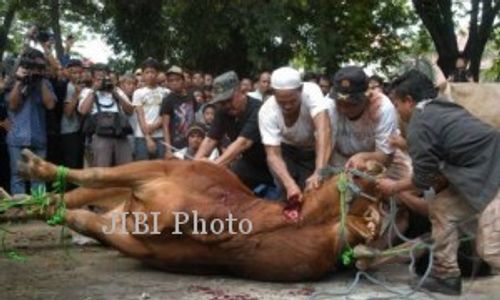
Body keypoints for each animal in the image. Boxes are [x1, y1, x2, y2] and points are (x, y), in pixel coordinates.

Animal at [2, 149, 386, 282]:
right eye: (355, 171)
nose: (377, 163)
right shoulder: (159, 170)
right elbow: (93, 173)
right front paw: (32, 166)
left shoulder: (125, 234)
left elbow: (72, 216)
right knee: (74, 187)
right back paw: (20, 187)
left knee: (58, 202)